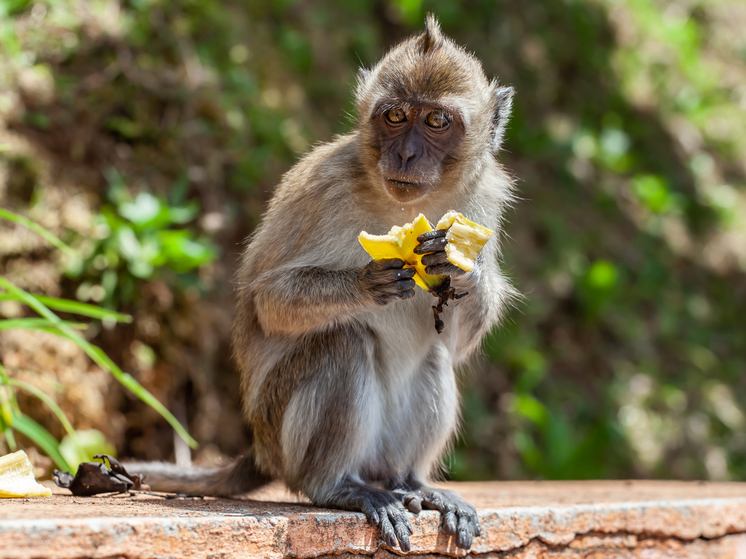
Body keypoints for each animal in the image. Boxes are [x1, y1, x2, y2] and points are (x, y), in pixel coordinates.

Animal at [126, 15, 512, 552]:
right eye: (395, 116)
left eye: (437, 121)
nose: (406, 153)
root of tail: (262, 449)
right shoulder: (324, 186)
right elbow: (268, 302)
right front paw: (367, 284)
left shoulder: (485, 198)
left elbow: (456, 343)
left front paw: (457, 266)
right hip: (282, 433)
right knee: (342, 342)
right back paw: (337, 486)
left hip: (378, 452)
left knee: (433, 360)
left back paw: (413, 484)